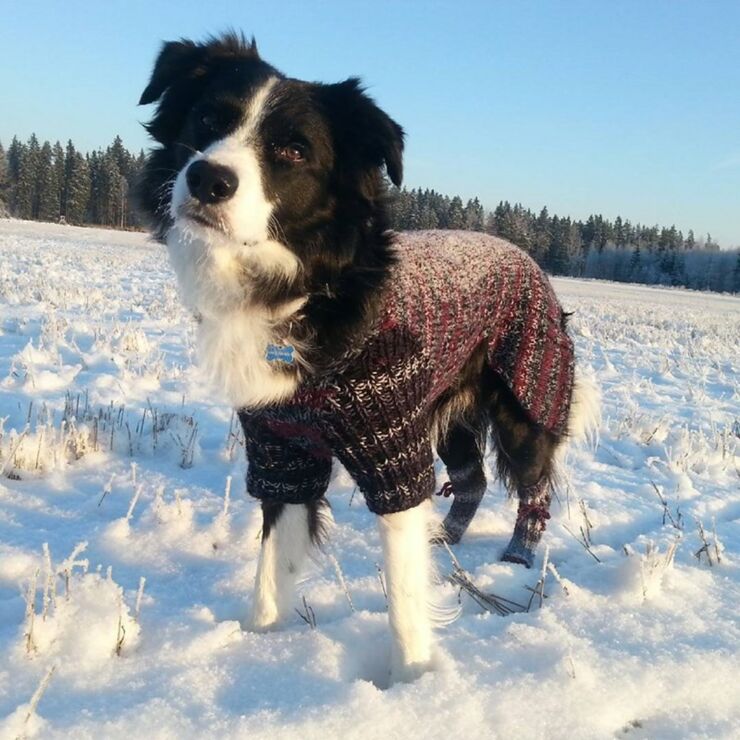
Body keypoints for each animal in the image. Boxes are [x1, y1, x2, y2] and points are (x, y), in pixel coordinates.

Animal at [136, 33, 600, 684]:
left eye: (293, 149)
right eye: (207, 119)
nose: (208, 178)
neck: (307, 291)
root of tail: (525, 257)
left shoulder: (391, 449)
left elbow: (403, 597)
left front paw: (412, 682)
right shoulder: (280, 449)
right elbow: (270, 572)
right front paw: (259, 648)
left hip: (526, 400)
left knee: (533, 486)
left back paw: (515, 556)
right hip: (448, 413)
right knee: (472, 479)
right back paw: (446, 538)